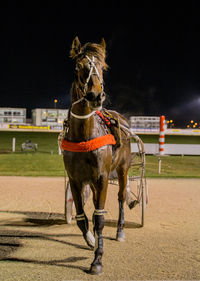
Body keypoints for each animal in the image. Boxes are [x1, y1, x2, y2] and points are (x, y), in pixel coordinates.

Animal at [62, 36, 131, 274]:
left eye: (101, 67)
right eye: (78, 67)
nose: (95, 95)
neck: (85, 134)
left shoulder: (102, 177)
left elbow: (99, 219)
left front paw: (97, 260)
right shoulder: (75, 179)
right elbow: (83, 218)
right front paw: (91, 240)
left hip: (122, 170)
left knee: (121, 197)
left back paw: (120, 231)